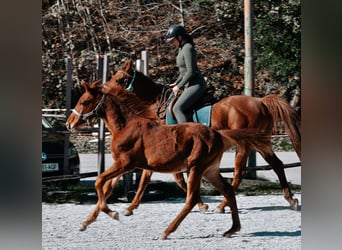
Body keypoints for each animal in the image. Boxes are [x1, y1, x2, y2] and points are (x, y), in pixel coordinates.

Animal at [65, 83, 272, 239]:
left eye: (84, 101)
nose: (69, 123)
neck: (126, 126)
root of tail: (217, 134)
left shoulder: (125, 164)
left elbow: (99, 181)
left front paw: (114, 213)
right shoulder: (123, 166)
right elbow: (106, 188)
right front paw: (86, 223)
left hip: (196, 167)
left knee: (191, 198)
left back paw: (167, 231)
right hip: (210, 170)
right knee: (228, 190)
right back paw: (232, 228)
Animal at [106, 60, 300, 213]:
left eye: (119, 79)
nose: (104, 89)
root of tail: (260, 102)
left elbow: (171, 178)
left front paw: (200, 203)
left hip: (244, 145)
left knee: (239, 173)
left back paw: (222, 205)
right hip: (261, 143)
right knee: (277, 164)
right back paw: (291, 199)